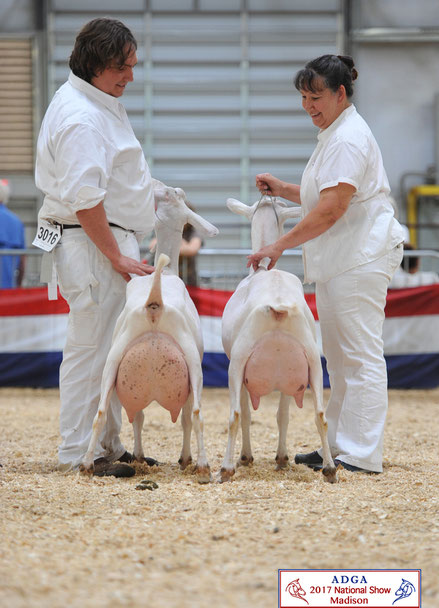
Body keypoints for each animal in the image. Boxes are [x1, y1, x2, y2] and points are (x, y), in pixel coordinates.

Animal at [80, 183, 218, 482]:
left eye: (172, 193)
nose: (156, 185)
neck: (165, 272)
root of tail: (155, 302)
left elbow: (139, 416)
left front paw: (141, 456)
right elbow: (186, 417)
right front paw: (185, 459)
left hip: (115, 358)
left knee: (100, 412)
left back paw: (86, 464)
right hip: (192, 361)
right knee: (197, 414)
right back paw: (203, 465)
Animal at [219, 195, 336, 484]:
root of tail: (278, 305)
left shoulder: (242, 371)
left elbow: (247, 414)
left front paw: (246, 457)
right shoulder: (289, 379)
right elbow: (283, 415)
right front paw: (282, 458)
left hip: (237, 362)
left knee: (235, 415)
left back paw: (226, 468)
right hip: (313, 362)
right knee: (320, 415)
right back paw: (329, 469)